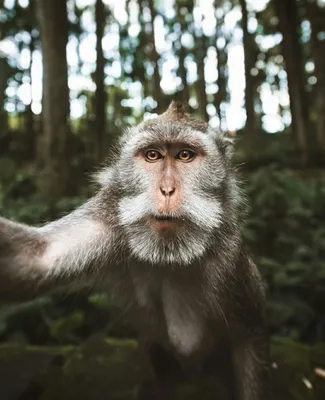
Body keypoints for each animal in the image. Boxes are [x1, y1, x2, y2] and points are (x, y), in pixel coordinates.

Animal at [0, 103, 272, 400]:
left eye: (185, 155)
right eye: (152, 155)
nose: (167, 190)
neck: (169, 253)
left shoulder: (229, 258)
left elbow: (248, 337)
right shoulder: (108, 217)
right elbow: (37, 258)